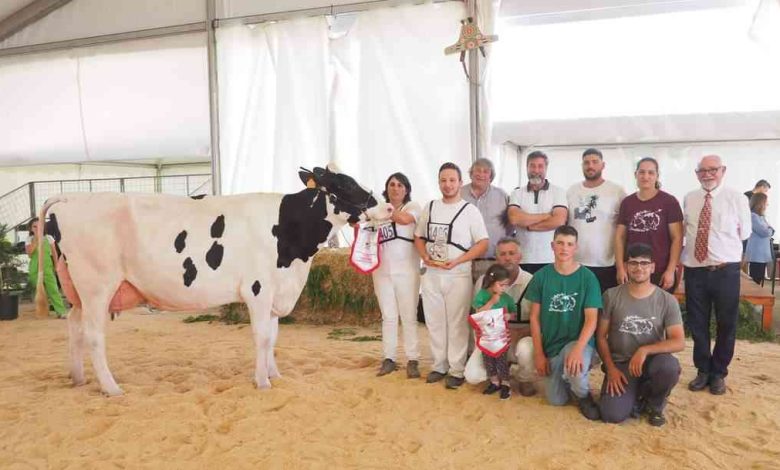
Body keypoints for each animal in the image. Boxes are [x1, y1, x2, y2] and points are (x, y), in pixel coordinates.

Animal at [35, 165, 390, 396]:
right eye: (345, 185)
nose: (387, 206)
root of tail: (72, 199)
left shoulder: (275, 289)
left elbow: (273, 337)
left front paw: (274, 373)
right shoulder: (259, 289)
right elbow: (262, 337)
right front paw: (262, 382)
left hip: (77, 290)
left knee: (74, 327)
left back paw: (78, 378)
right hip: (97, 286)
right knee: (93, 335)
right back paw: (112, 388)